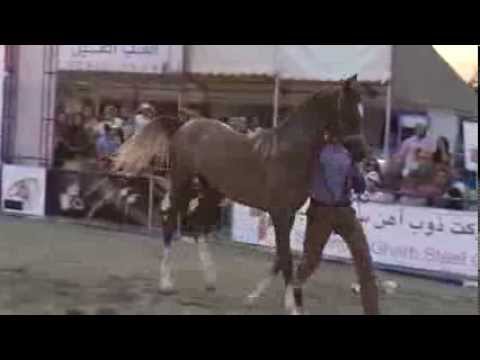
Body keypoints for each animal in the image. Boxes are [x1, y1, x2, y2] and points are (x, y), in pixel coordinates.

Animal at [114, 74, 376, 316]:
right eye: (349, 112)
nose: (363, 155)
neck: (289, 153)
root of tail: (183, 125)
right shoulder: (280, 214)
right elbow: (286, 259)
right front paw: (292, 307)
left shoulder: (288, 215)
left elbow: (280, 258)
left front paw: (258, 298)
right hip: (183, 184)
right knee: (170, 223)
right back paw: (166, 283)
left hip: (212, 191)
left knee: (197, 226)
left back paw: (210, 280)